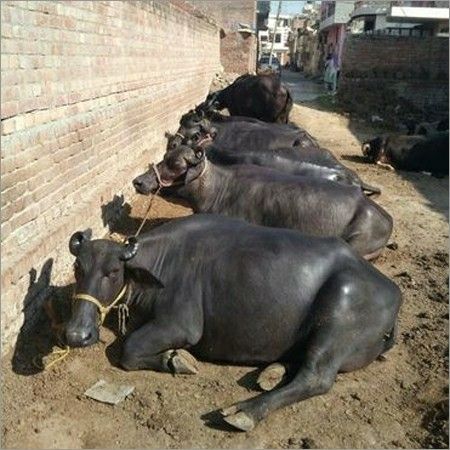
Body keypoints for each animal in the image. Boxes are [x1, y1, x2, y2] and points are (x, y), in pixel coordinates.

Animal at [64, 214, 400, 432]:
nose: (77, 334)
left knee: (316, 377)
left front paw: (178, 360)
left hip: (338, 313)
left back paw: (244, 411)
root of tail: (391, 290)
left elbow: (128, 349)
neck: (161, 264)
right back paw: (271, 373)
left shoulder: (180, 325)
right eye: (78, 268)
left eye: (112, 272)